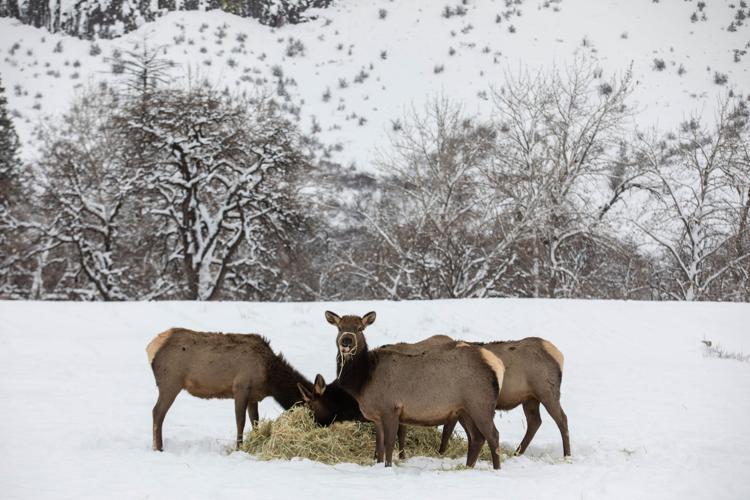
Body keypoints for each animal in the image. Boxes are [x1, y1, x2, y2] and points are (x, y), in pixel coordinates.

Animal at [146, 327, 313, 451]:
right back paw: (158, 447)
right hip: (170, 382)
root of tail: (151, 347)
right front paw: (239, 447)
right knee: (157, 412)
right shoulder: (241, 387)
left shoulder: (253, 396)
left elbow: (255, 421)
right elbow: (241, 421)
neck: (269, 378)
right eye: (316, 405)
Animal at [324, 311, 505, 469]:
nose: (347, 341)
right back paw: (468, 467)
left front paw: (388, 467)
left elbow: (389, 444)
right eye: (339, 327)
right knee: (476, 438)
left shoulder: (391, 408)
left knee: (493, 435)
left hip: (480, 404)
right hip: (464, 410)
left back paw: (496, 469)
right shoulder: (376, 416)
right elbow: (379, 446)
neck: (363, 382)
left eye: (360, 328)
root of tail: (497, 365)